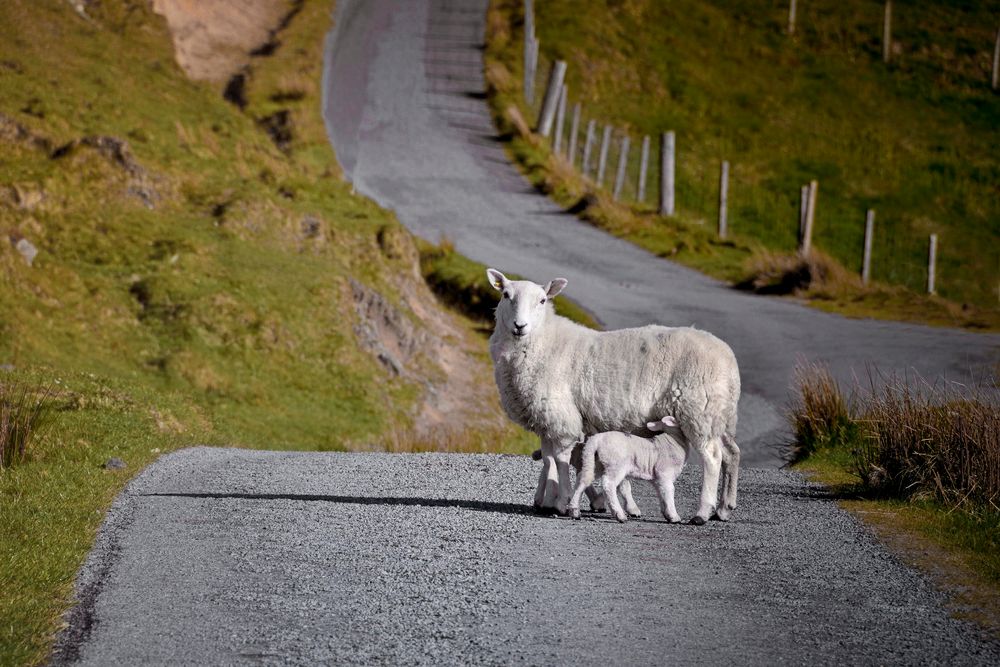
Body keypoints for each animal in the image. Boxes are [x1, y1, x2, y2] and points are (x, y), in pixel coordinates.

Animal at [488, 268, 740, 524]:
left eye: (542, 300)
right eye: (506, 295)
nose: (520, 326)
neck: (543, 340)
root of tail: (727, 356)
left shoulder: (561, 417)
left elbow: (560, 459)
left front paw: (562, 502)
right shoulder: (545, 419)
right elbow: (549, 459)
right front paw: (548, 500)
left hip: (698, 409)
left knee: (712, 458)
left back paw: (702, 512)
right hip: (718, 413)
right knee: (731, 453)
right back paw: (724, 508)